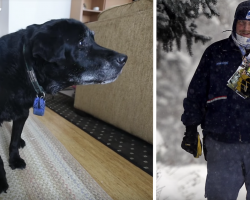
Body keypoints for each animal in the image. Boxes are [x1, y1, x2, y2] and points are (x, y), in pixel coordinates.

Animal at [0, 18, 127, 192]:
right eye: (81, 42)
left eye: (93, 39)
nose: (124, 58)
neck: (27, 68)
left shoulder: (22, 113)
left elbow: (13, 141)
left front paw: (14, 159)